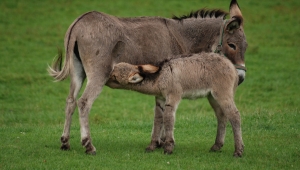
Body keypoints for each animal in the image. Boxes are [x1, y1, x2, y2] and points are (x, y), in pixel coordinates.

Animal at [109, 52, 245, 157]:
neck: (161, 76)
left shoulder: (173, 96)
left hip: (222, 94)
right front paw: (152, 146)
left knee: (234, 116)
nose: (105, 79)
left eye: (114, 76)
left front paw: (168, 147)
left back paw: (238, 151)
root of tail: (231, 66)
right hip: (212, 97)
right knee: (222, 116)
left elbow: (168, 118)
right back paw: (217, 146)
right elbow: (158, 120)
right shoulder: (160, 99)